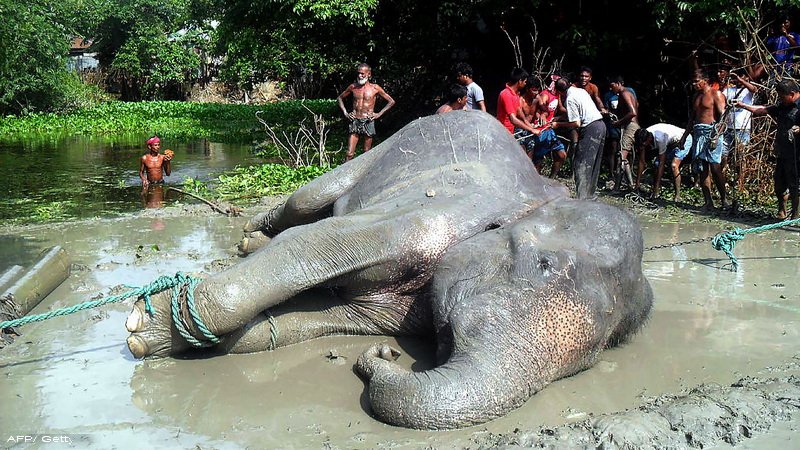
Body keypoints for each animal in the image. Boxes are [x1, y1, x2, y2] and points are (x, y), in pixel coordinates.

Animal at [124, 110, 653, 430]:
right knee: (305, 203)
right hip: (383, 145)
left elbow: (314, 317)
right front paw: (140, 327)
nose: (383, 356)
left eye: (599, 351)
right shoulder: (425, 219)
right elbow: (316, 242)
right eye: (543, 265)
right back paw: (248, 237)